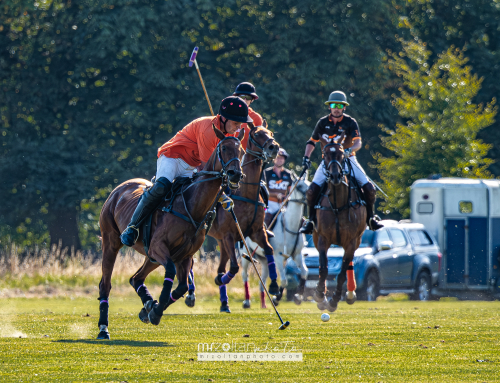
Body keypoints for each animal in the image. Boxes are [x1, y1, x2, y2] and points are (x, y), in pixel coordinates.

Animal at [95, 127, 244, 340]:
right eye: (223, 148)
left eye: (242, 151)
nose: (235, 175)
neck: (191, 206)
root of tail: (118, 189)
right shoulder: (159, 247)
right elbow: (172, 274)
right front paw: (156, 311)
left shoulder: (185, 255)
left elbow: (182, 286)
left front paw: (152, 309)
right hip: (111, 242)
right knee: (105, 285)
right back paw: (103, 329)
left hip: (151, 256)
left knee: (136, 278)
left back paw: (148, 303)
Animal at [205, 123, 280, 312]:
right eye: (257, 134)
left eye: (270, 133)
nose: (274, 147)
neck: (246, 192)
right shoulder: (229, 235)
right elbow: (234, 266)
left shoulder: (257, 232)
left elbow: (269, 250)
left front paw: (274, 286)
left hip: (221, 241)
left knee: (220, 267)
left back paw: (224, 303)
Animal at [245, 177, 310, 308]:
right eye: (299, 186)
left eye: (308, 183)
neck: (290, 226)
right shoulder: (278, 256)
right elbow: (284, 280)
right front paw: (277, 298)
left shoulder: (297, 255)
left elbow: (304, 272)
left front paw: (298, 297)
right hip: (244, 253)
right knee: (245, 275)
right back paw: (247, 302)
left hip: (264, 259)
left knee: (262, 279)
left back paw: (263, 304)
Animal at [312, 134, 368, 314]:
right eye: (325, 155)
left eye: (343, 155)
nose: (336, 176)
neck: (337, 204)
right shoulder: (323, 239)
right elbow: (323, 268)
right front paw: (320, 295)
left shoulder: (351, 241)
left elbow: (342, 272)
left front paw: (334, 300)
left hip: (356, 241)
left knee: (348, 264)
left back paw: (350, 294)